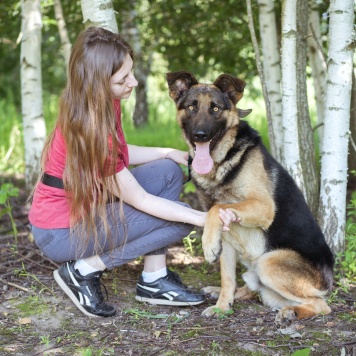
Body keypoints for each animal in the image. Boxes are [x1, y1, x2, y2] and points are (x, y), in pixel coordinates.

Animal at [166, 71, 334, 324]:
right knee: (250, 289)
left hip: (268, 262)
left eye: (215, 109)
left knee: (322, 304)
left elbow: (217, 208)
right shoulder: (227, 238)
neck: (221, 163)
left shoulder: (263, 208)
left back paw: (292, 312)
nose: (200, 135)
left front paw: (207, 245)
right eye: (192, 107)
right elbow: (227, 278)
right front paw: (222, 307)